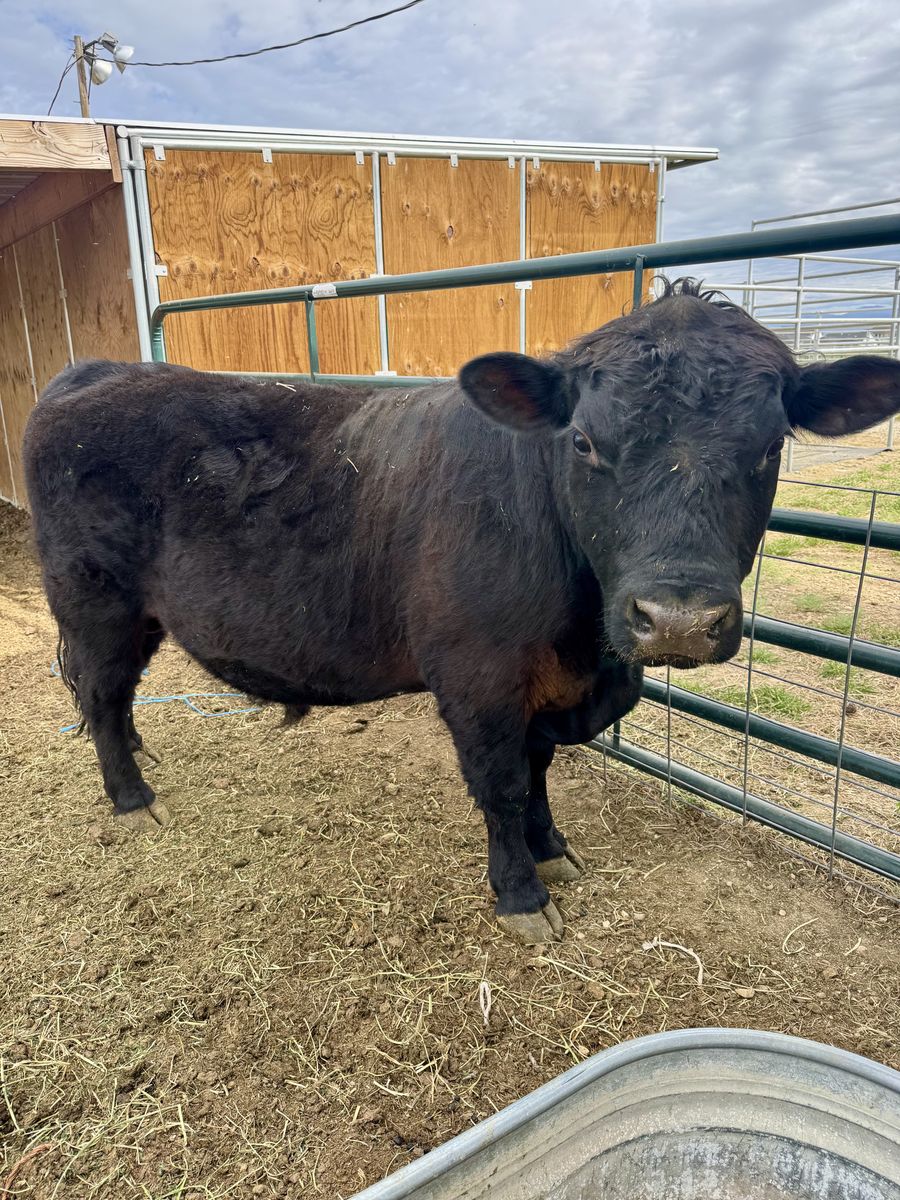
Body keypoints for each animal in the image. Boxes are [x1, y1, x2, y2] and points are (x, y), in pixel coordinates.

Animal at [24, 281, 900, 943]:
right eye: (583, 442)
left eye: (771, 446)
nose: (679, 619)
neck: (585, 649)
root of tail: (96, 372)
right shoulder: (479, 678)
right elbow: (504, 784)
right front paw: (521, 895)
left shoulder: (546, 688)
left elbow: (541, 771)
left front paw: (552, 850)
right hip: (94, 597)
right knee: (100, 692)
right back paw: (133, 799)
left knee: (115, 698)